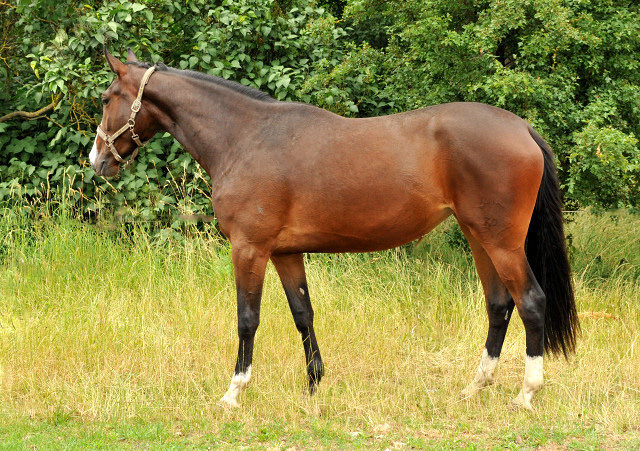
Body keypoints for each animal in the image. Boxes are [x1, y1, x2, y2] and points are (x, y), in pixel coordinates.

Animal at [91, 48, 580, 410]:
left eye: (106, 97)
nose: (97, 161)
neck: (244, 137)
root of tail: (522, 127)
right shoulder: (284, 252)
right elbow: (302, 313)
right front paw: (313, 384)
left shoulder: (249, 249)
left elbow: (247, 319)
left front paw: (233, 392)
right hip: (480, 238)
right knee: (499, 306)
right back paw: (474, 387)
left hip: (502, 243)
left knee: (530, 302)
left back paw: (526, 394)